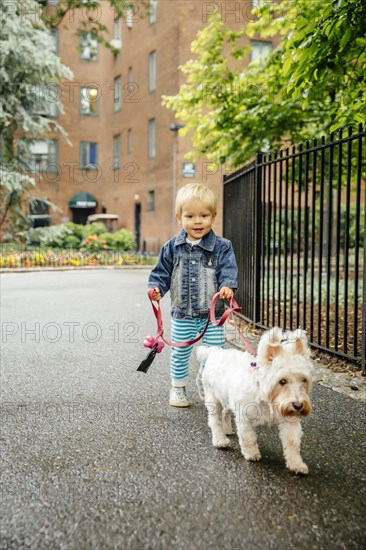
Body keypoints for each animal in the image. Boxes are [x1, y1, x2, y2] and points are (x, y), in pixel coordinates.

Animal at [196, 330, 314, 476]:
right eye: (282, 381)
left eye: (304, 380)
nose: (298, 406)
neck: (267, 398)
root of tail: (213, 351)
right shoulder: (244, 417)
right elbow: (248, 437)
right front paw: (251, 453)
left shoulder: (290, 420)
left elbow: (293, 442)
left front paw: (296, 464)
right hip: (213, 398)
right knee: (214, 420)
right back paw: (220, 440)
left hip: (225, 396)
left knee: (226, 412)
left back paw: (227, 429)